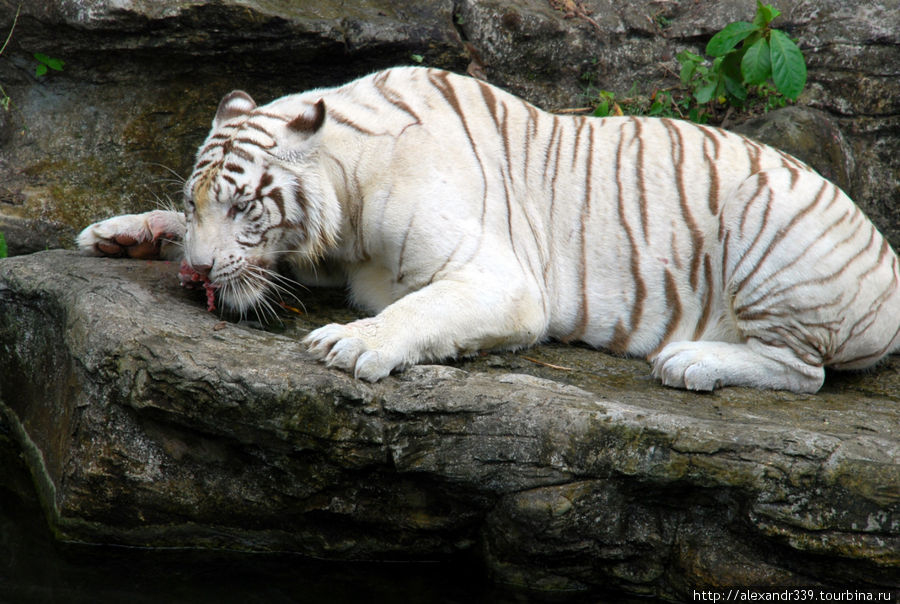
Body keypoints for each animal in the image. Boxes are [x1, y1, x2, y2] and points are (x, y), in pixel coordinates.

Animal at [77, 67, 900, 392]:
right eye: (197, 205)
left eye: (245, 207)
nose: (196, 276)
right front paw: (120, 233)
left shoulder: (502, 281)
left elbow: (423, 307)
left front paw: (353, 343)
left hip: (775, 246)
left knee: (805, 371)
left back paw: (692, 361)